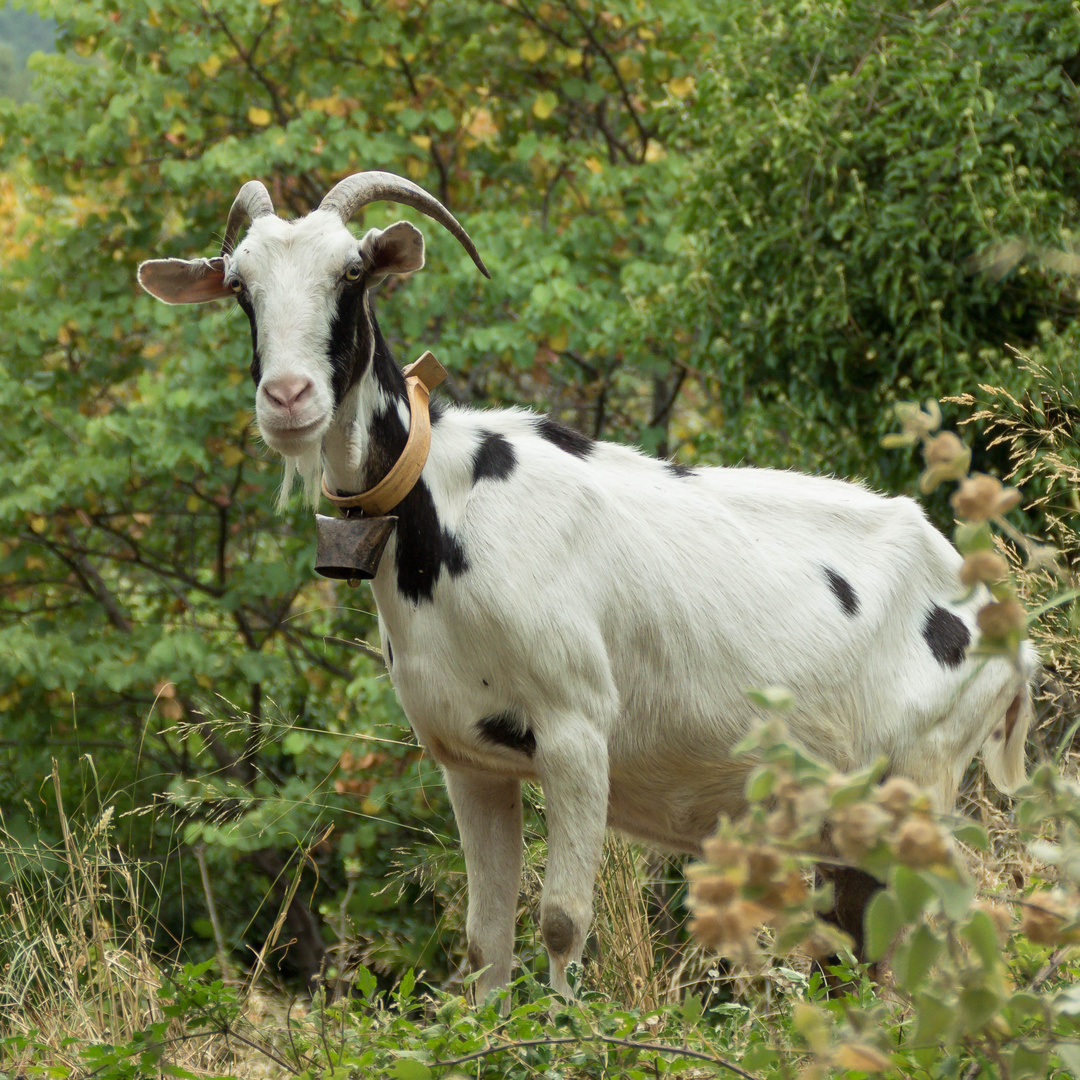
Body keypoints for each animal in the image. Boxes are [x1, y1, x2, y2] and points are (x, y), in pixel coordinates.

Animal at [137, 172, 1036, 997]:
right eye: (240, 286)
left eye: (352, 271)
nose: (288, 398)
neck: (449, 509)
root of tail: (994, 615)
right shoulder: (469, 759)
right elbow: (483, 939)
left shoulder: (575, 733)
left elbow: (562, 920)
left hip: (923, 778)